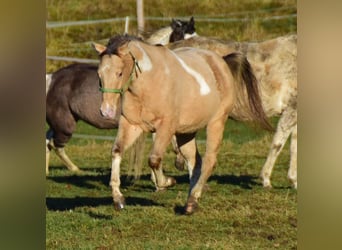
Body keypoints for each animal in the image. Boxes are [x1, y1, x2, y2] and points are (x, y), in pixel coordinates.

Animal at [93, 34, 270, 214]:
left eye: (119, 73)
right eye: (99, 75)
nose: (106, 111)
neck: (149, 82)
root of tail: (221, 62)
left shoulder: (166, 127)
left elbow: (154, 159)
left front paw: (167, 182)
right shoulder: (132, 125)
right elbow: (117, 151)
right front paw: (118, 198)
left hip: (216, 122)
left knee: (209, 161)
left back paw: (192, 201)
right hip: (186, 132)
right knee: (195, 162)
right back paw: (191, 199)